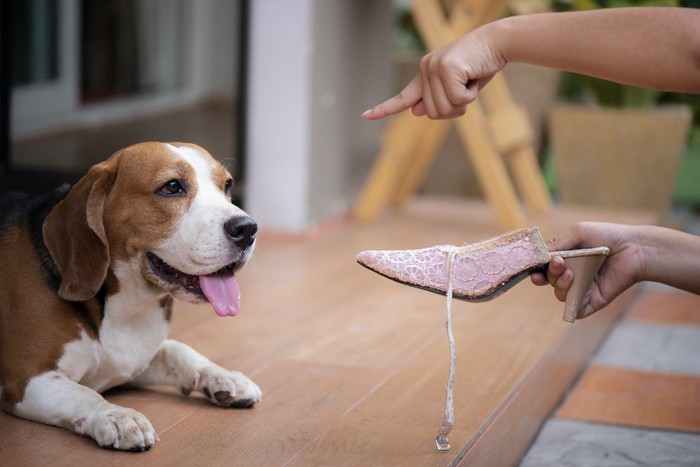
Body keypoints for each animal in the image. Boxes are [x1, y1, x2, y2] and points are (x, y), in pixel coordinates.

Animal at [0, 142, 262, 450]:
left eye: (227, 185)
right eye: (172, 187)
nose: (247, 228)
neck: (127, 308)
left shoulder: (134, 360)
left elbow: (178, 350)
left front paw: (222, 376)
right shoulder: (26, 379)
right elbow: (82, 394)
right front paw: (117, 416)